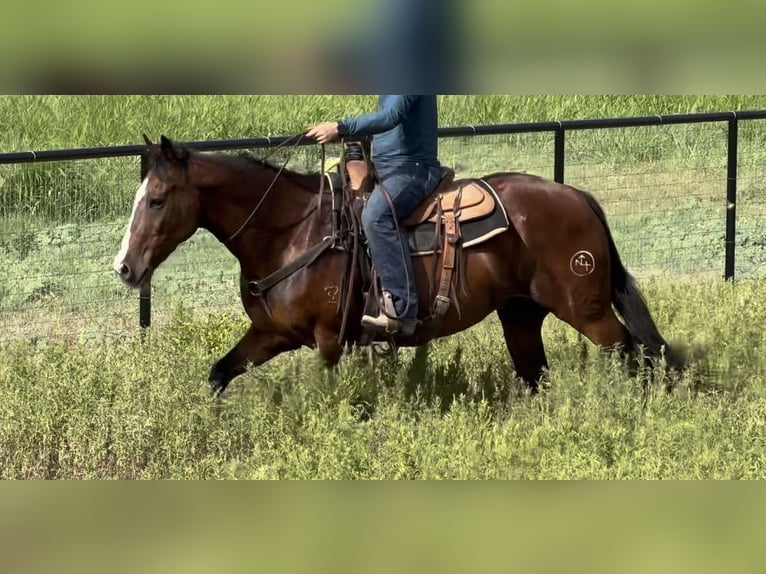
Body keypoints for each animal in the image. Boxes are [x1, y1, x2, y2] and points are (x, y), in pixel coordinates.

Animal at [112, 135, 683, 396]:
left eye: (157, 200)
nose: (124, 268)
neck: (293, 232)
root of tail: (578, 197)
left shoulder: (328, 339)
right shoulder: (271, 333)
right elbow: (219, 373)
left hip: (588, 311)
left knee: (638, 353)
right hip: (520, 315)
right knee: (536, 375)